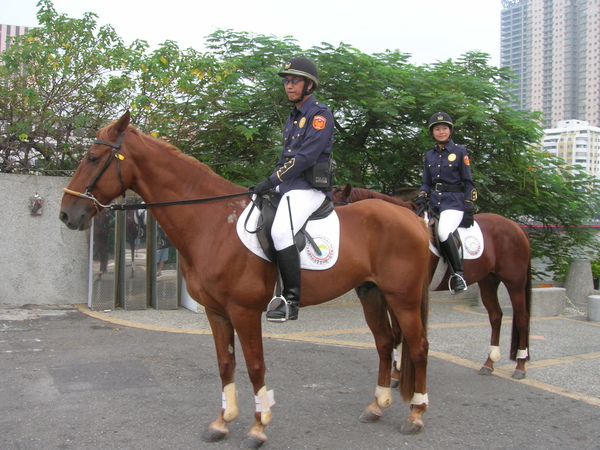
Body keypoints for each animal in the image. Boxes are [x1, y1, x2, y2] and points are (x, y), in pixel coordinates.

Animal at [59, 111, 432, 446]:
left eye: (93, 158)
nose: (66, 214)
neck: (212, 222)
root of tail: (412, 218)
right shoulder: (216, 312)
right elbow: (226, 363)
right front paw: (223, 421)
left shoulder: (244, 311)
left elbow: (255, 365)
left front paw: (258, 426)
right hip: (372, 293)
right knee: (384, 343)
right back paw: (377, 406)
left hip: (403, 298)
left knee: (418, 347)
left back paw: (416, 415)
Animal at [332, 184, 536, 380]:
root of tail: (516, 226)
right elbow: (397, 332)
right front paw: (397, 373)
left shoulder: (403, 293)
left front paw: (398, 374)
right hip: (488, 280)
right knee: (495, 315)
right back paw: (489, 363)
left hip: (514, 282)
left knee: (522, 317)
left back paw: (520, 366)